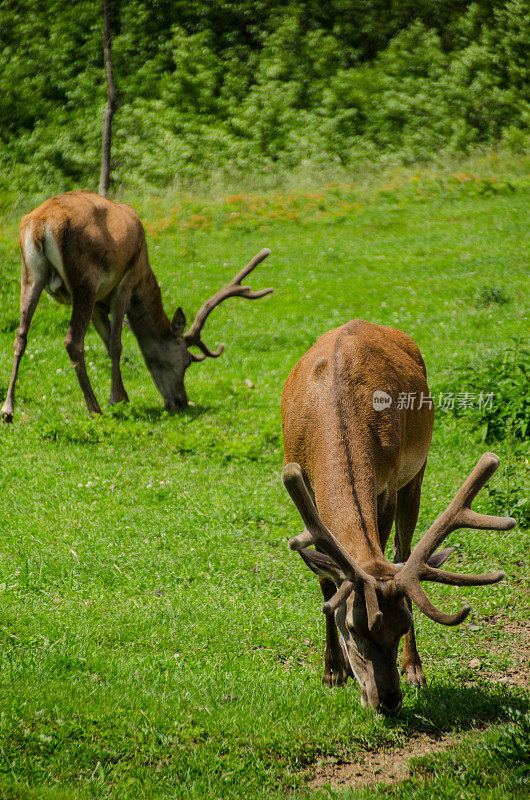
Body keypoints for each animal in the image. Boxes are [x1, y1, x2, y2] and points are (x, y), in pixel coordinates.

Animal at [1, 191, 272, 422]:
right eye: (186, 361)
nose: (181, 402)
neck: (145, 277)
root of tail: (40, 224)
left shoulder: (99, 301)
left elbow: (106, 339)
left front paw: (123, 395)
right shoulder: (125, 281)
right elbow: (115, 343)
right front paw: (117, 399)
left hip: (31, 273)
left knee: (21, 335)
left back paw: (8, 409)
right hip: (84, 279)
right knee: (72, 341)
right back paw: (94, 408)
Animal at [280, 318, 512, 712]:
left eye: (402, 624)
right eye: (354, 627)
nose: (388, 700)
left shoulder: (387, 483)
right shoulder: (303, 482)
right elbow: (325, 577)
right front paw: (332, 672)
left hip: (416, 472)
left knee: (403, 551)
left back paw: (414, 667)